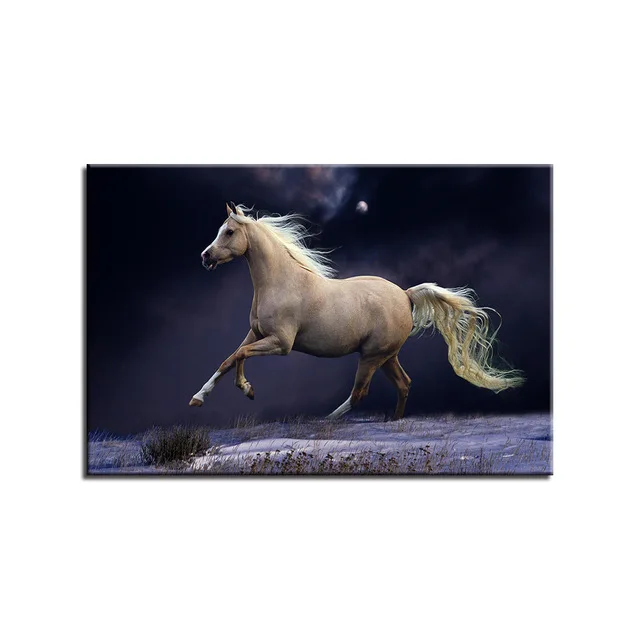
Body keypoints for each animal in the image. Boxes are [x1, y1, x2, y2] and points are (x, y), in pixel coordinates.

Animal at [189, 203, 524, 419]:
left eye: (229, 232)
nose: (205, 257)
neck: (281, 282)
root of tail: (406, 295)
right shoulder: (255, 333)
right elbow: (230, 358)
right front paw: (200, 398)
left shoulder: (281, 344)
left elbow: (239, 356)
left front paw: (247, 389)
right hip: (387, 356)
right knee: (404, 384)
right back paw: (394, 422)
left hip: (372, 357)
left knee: (360, 393)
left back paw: (325, 422)